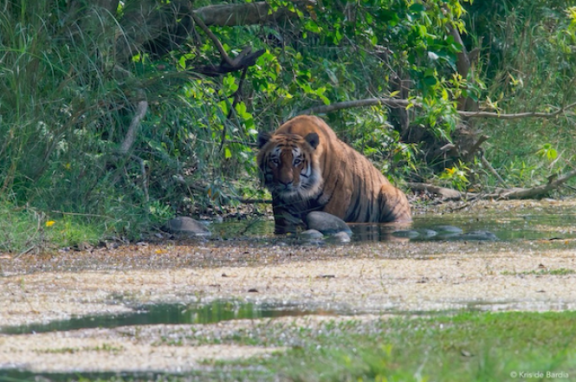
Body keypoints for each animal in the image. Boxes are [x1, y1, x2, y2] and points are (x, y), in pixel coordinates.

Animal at [256, 114, 410, 233]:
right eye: (275, 161)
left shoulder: (337, 200)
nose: (286, 182)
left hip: (390, 194)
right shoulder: (284, 209)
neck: (304, 192)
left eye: (297, 161)